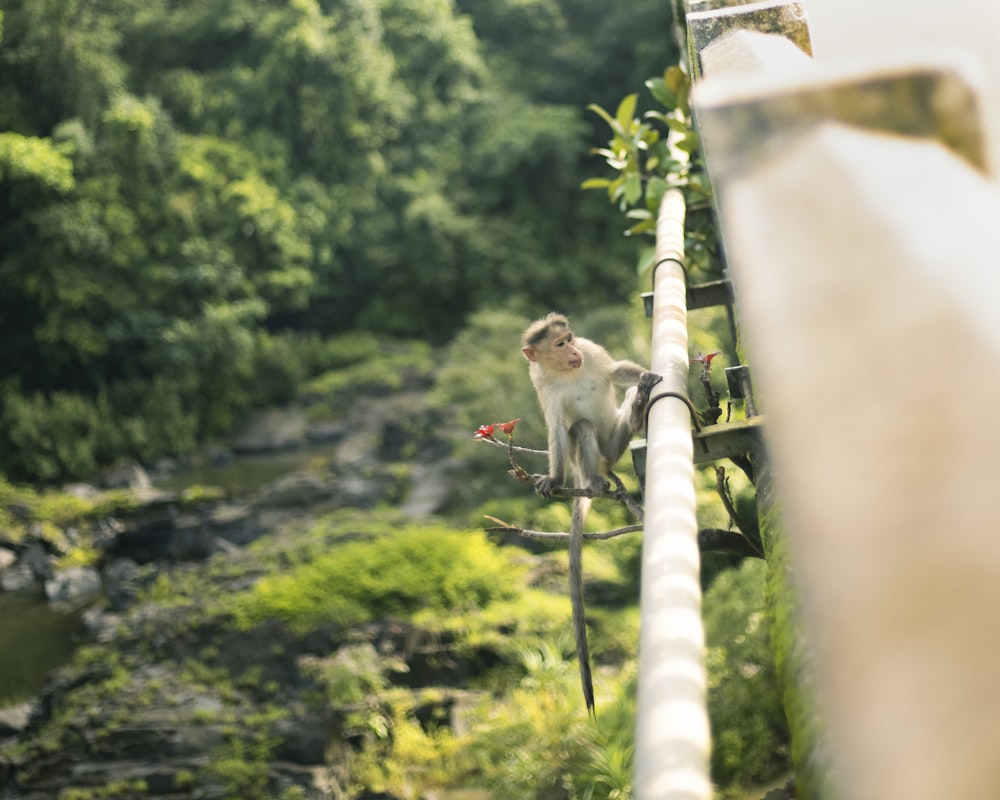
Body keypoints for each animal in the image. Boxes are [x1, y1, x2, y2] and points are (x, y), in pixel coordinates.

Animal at [520, 310, 660, 712]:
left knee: (619, 405)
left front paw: (648, 377)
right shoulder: (541, 383)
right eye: (558, 344)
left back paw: (639, 406)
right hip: (593, 458)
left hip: (615, 442)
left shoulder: (593, 351)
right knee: (579, 429)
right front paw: (553, 479)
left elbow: (615, 371)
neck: (566, 371)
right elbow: (556, 428)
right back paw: (595, 483)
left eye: (570, 340)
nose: (573, 351)